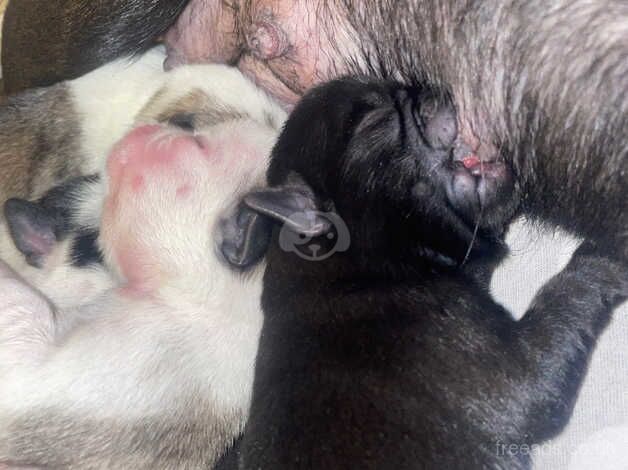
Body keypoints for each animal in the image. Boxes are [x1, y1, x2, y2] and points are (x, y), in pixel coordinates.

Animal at [217, 79, 628, 468]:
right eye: (372, 118)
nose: (429, 87)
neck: (363, 265)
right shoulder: (516, 371)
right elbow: (565, 295)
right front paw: (607, 252)